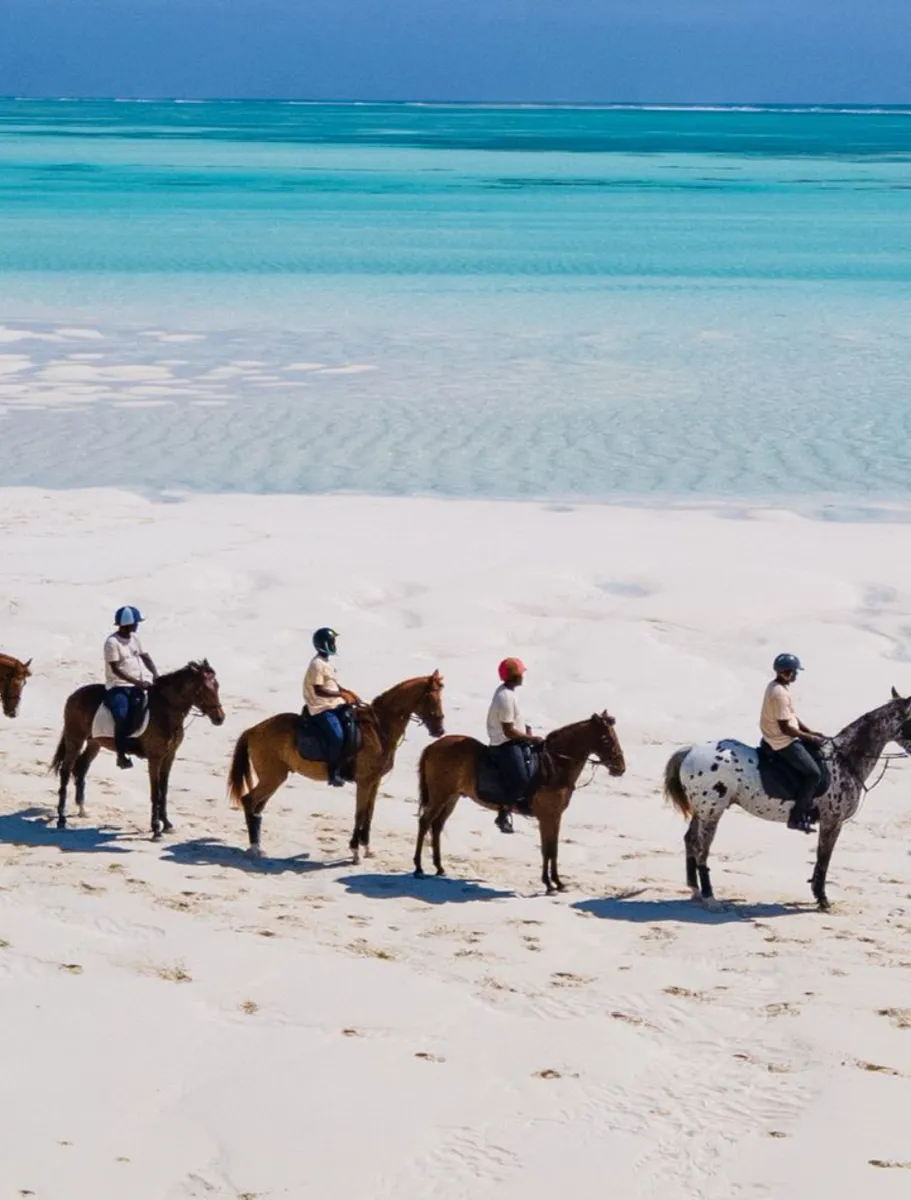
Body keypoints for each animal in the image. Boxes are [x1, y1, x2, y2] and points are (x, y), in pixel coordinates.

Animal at [51, 660, 225, 839]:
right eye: (204, 689)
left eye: (217, 686)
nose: (220, 718)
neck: (166, 712)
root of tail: (74, 695)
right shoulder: (155, 758)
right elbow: (156, 792)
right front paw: (156, 829)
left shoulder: (169, 756)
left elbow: (164, 791)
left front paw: (167, 824)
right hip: (75, 738)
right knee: (66, 771)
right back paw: (62, 818)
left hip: (94, 742)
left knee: (82, 767)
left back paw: (82, 809)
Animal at [227, 671, 446, 862]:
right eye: (431, 697)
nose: (440, 730)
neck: (379, 728)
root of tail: (253, 730)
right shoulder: (364, 782)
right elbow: (359, 814)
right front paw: (355, 852)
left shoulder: (374, 782)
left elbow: (369, 814)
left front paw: (367, 848)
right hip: (272, 777)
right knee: (249, 801)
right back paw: (255, 847)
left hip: (275, 778)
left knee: (257, 807)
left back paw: (257, 846)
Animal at [413, 711, 626, 893]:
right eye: (607, 739)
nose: (620, 768)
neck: (556, 765)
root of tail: (433, 747)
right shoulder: (548, 816)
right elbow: (548, 850)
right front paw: (549, 883)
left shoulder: (554, 817)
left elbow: (552, 849)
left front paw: (557, 883)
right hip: (440, 795)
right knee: (425, 822)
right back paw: (419, 868)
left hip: (451, 797)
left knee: (437, 825)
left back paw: (439, 867)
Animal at [663, 688, 911, 911]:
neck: (845, 759)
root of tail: (691, 752)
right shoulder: (832, 821)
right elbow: (823, 859)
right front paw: (822, 900)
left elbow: (822, 860)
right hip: (712, 812)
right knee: (701, 848)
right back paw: (710, 898)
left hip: (702, 811)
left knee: (690, 841)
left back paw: (695, 891)